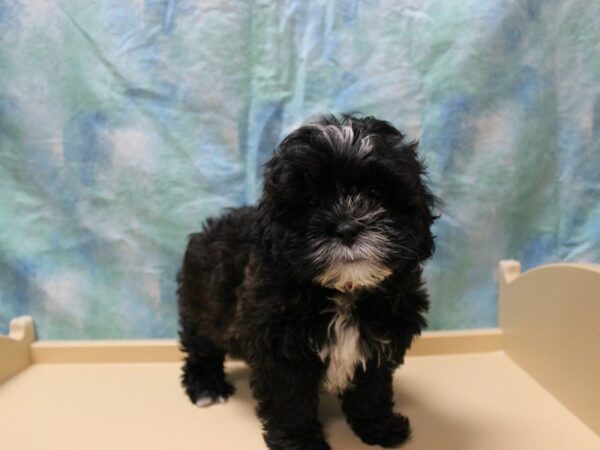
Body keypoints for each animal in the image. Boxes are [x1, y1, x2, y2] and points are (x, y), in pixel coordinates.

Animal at [177, 115, 436, 450]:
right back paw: (206, 385)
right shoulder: (280, 347)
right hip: (203, 302)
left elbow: (372, 389)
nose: (347, 227)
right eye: (311, 201)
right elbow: (290, 400)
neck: (344, 292)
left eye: (376, 192)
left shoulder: (380, 339)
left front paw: (378, 426)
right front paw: (299, 442)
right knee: (201, 343)